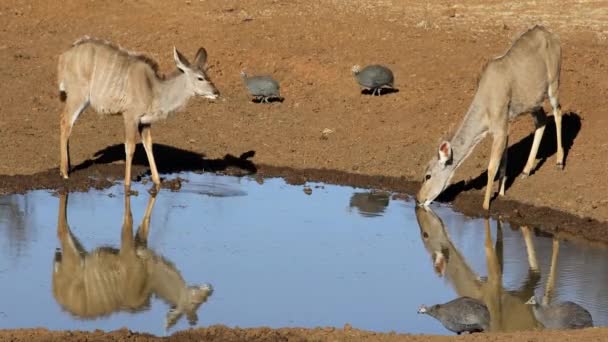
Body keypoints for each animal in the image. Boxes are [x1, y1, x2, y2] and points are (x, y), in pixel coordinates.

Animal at [52, 191, 214, 330]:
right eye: (195, 302)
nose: (210, 289)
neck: (150, 278)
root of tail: (57, 291)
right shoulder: (127, 251)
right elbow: (128, 221)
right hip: (72, 256)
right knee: (61, 230)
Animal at [57, 37, 221, 190]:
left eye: (208, 75)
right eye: (200, 78)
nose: (216, 93)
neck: (153, 89)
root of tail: (64, 56)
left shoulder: (145, 122)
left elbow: (148, 145)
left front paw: (157, 181)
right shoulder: (130, 116)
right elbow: (130, 148)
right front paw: (127, 185)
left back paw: (67, 168)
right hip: (78, 96)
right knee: (65, 122)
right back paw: (64, 173)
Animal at [416, 25, 564, 210]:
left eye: (428, 175)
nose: (418, 199)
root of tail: (552, 35)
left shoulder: (500, 129)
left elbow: (492, 167)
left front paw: (486, 205)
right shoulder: (505, 127)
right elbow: (503, 162)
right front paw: (501, 193)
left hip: (553, 85)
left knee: (558, 112)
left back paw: (559, 162)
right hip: (533, 103)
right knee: (542, 121)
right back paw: (525, 171)